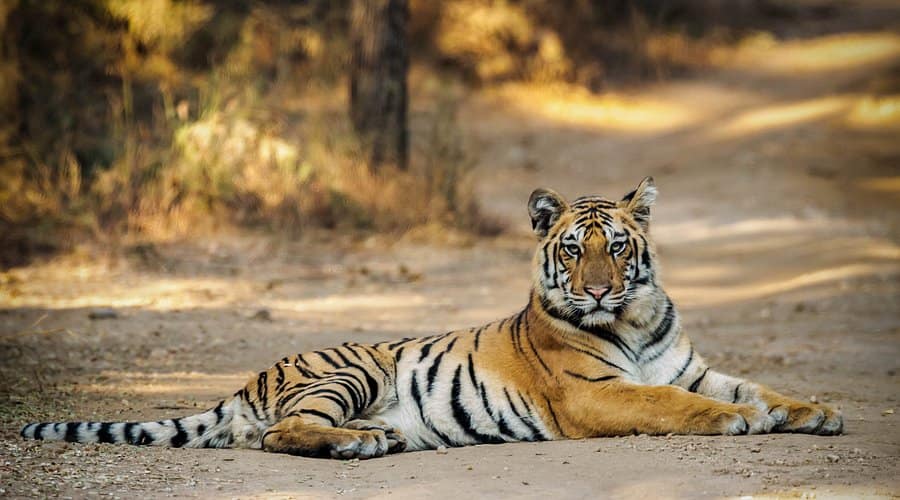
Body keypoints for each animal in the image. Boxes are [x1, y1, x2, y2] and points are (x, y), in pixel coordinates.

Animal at [20, 177, 843, 459]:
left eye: (617, 247)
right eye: (572, 249)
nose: (599, 292)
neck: (634, 321)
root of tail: (251, 378)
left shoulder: (694, 366)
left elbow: (755, 387)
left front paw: (816, 410)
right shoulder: (594, 394)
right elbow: (670, 402)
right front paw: (735, 422)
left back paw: (379, 438)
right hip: (350, 369)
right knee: (278, 434)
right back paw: (357, 445)